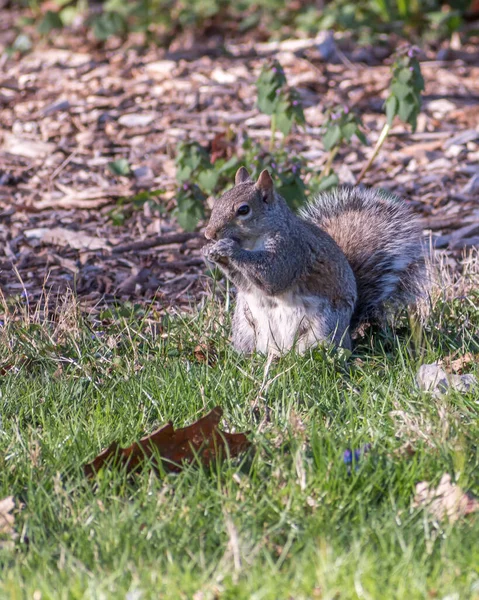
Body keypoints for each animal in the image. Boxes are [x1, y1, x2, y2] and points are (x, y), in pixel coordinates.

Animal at [201, 166, 426, 354]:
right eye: (218, 202)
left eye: (243, 210)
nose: (208, 234)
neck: (252, 241)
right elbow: (246, 284)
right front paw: (209, 251)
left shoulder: (292, 251)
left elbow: (273, 277)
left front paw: (229, 249)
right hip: (244, 328)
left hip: (323, 328)